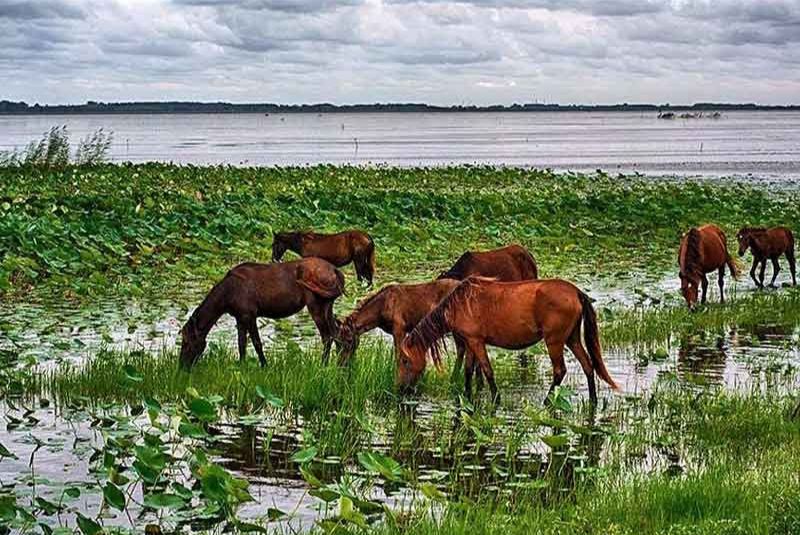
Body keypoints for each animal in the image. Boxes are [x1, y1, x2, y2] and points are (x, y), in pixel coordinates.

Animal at [178, 258, 344, 368]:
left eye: (186, 341)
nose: (182, 366)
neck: (226, 297)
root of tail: (335, 271)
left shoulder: (249, 315)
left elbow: (257, 343)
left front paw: (264, 365)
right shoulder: (240, 318)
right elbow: (241, 344)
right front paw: (242, 365)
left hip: (316, 305)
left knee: (327, 336)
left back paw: (323, 365)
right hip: (328, 306)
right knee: (336, 333)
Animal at [400, 278, 620, 404]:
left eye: (404, 360)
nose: (401, 389)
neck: (458, 304)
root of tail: (576, 291)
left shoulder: (476, 341)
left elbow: (487, 370)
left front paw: (496, 398)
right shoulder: (470, 342)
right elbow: (469, 371)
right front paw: (466, 396)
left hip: (555, 341)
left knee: (560, 371)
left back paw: (547, 401)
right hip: (571, 338)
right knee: (588, 365)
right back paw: (593, 401)